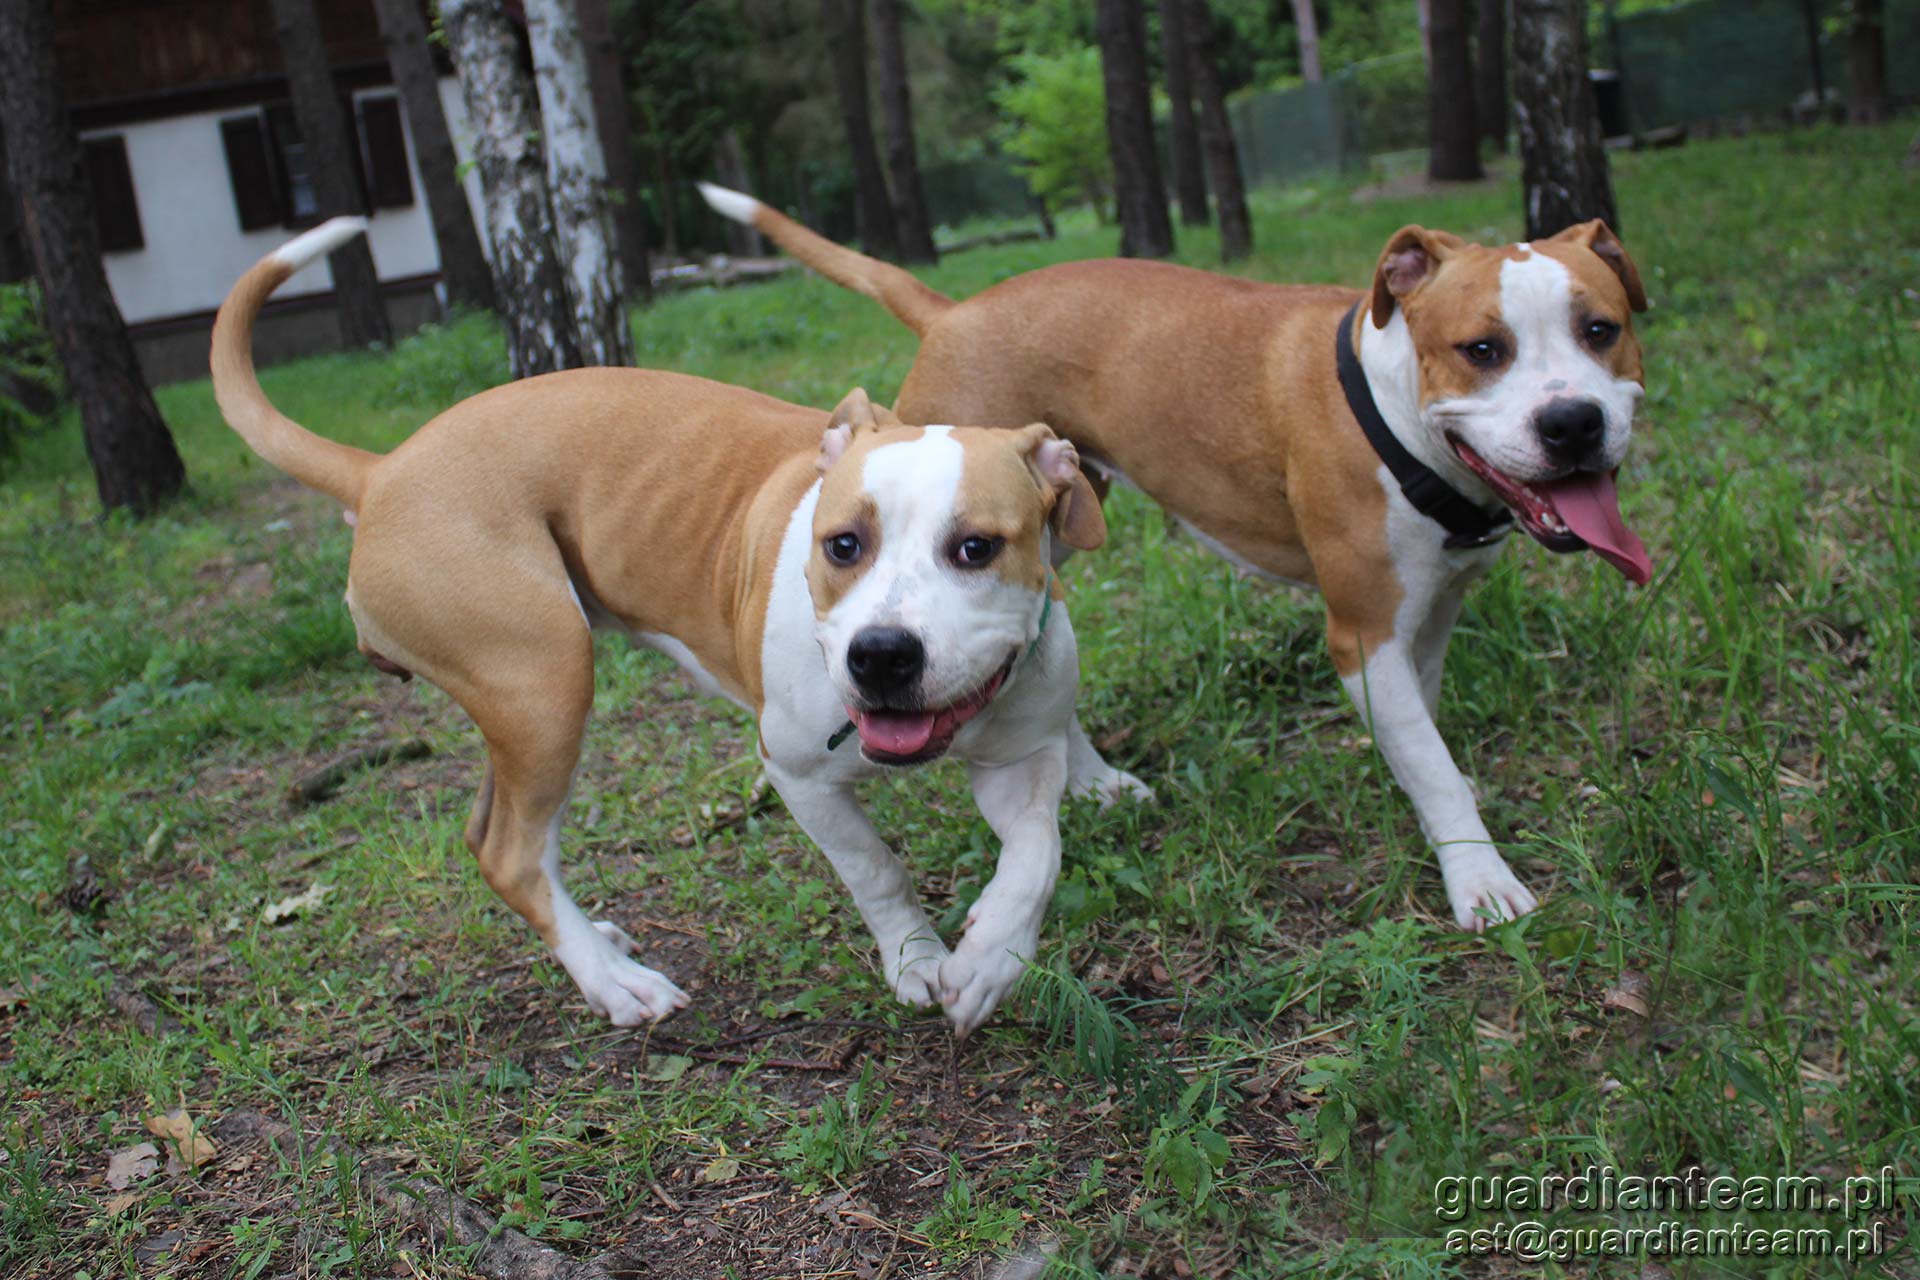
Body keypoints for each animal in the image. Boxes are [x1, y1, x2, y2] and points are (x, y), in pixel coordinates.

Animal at [210, 217, 1144, 1043]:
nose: (880, 657)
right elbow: (876, 867)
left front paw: (989, 959)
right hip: (546, 682)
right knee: (510, 850)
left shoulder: (1022, 761)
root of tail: (382, 472)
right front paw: (915, 958)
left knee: (498, 836)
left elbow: (1036, 856)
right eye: (842, 544)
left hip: (514, 699)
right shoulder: (800, 776)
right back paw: (616, 984)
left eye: (977, 547)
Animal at [702, 182, 1651, 932]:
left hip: (1045, 528)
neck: (1397, 413)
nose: (1573, 423)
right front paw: (1479, 878)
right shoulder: (1364, 633)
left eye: (1602, 329)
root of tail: (953, 310)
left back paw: (1091, 782)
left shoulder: (1432, 614)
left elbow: (1425, 730)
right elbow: (1434, 763)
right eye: (1482, 350)